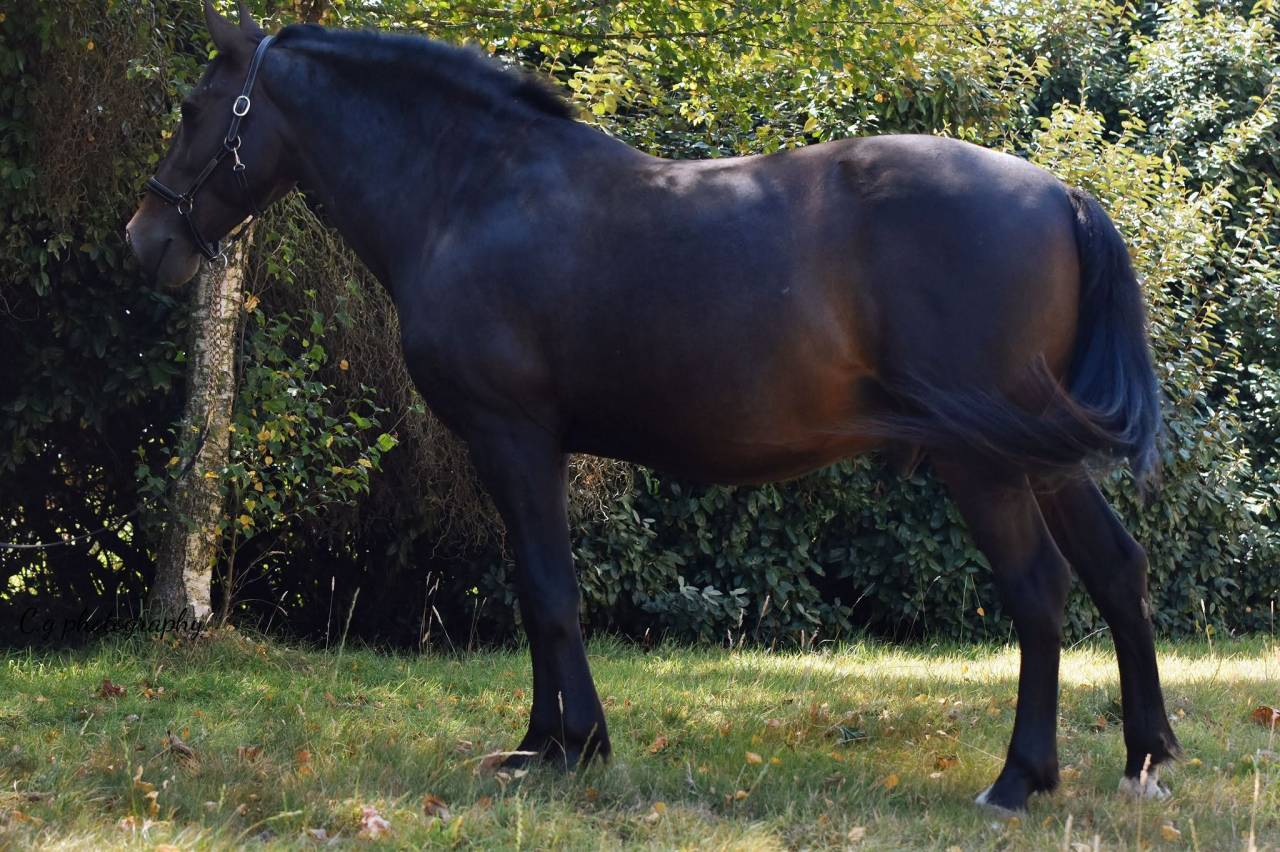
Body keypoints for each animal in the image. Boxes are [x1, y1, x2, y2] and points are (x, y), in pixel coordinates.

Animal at [126, 1, 1180, 813]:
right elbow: (534, 591)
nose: (144, 240)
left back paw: (1018, 779)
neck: (473, 190)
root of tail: (1060, 193)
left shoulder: (514, 438)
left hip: (985, 461)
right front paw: (539, 741)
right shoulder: (518, 449)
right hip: (1041, 455)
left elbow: (550, 593)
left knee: (1039, 591)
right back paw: (1146, 757)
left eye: (193, 107)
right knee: (1118, 569)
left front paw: (577, 747)